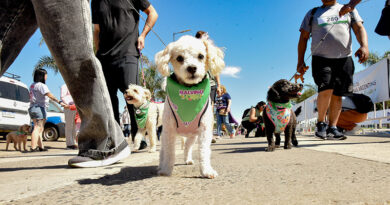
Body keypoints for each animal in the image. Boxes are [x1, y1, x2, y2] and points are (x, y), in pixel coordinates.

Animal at [154, 34, 224, 178]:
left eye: (201, 56)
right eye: (179, 58)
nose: (191, 68)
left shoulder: (204, 131)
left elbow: (204, 151)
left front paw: (207, 171)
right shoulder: (169, 130)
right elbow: (169, 152)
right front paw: (166, 170)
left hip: (192, 136)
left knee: (187, 146)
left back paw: (188, 159)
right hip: (165, 135)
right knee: (163, 151)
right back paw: (161, 165)